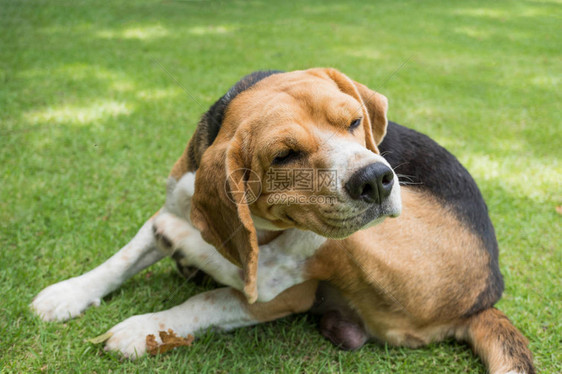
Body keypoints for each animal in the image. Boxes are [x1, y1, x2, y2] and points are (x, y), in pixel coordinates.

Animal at [31, 68, 532, 372]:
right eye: (283, 155)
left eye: (354, 122)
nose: (377, 178)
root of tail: (485, 297)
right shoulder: (175, 197)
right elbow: (122, 258)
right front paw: (67, 295)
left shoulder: (287, 294)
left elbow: (209, 301)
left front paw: (142, 329)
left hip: (356, 240)